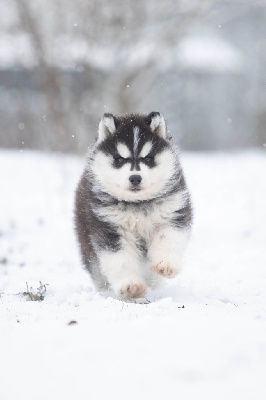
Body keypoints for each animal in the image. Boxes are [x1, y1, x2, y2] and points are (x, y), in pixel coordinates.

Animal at [74, 111, 192, 298]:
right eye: (119, 159)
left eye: (149, 158)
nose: (135, 178)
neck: (137, 205)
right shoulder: (108, 228)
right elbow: (120, 259)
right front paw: (130, 285)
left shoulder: (173, 212)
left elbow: (168, 238)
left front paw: (166, 264)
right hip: (86, 240)